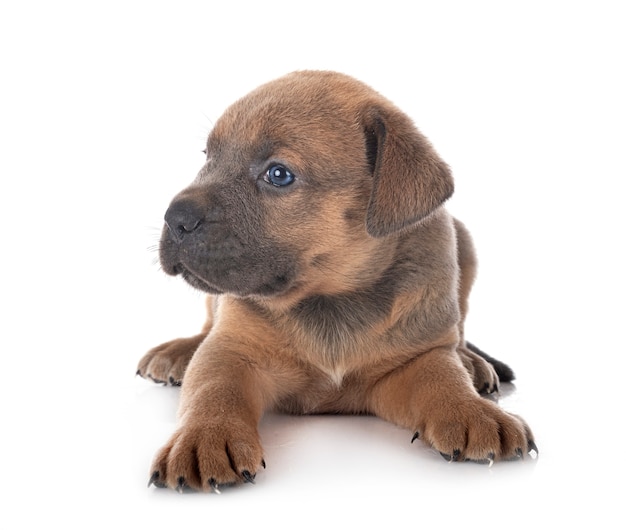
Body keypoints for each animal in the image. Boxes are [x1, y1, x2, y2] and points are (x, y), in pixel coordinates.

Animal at [138, 70, 536, 490]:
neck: (330, 299)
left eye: (278, 174)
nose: (175, 218)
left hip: (465, 246)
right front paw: (205, 436)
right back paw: (179, 351)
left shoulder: (411, 361)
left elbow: (443, 377)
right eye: (208, 157)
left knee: (456, 335)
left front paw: (472, 410)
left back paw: (472, 362)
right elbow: (213, 389)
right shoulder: (231, 350)